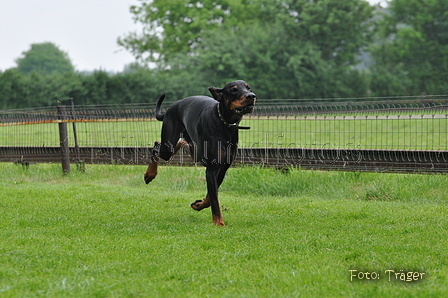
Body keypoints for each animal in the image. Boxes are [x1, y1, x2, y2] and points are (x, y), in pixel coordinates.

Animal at [144, 80, 256, 225]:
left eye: (248, 88)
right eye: (233, 90)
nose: (251, 96)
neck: (225, 124)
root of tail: (170, 108)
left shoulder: (223, 168)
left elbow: (211, 196)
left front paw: (198, 205)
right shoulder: (212, 169)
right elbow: (214, 199)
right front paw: (219, 223)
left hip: (194, 150)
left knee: (180, 143)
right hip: (168, 146)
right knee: (157, 146)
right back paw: (149, 174)